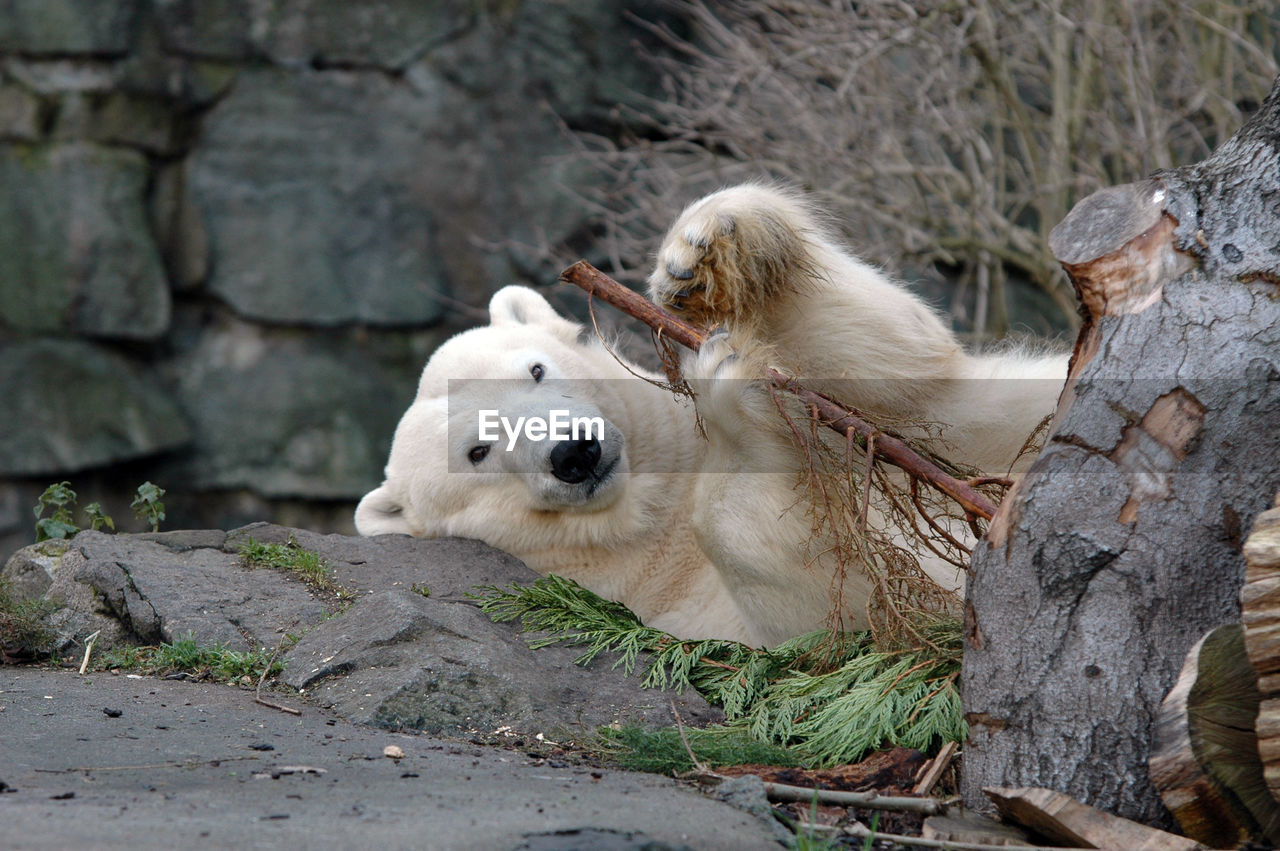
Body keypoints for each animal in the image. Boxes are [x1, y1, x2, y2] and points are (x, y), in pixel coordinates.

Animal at [355, 180, 1064, 644]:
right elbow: (838, 609)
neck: (655, 508)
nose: (574, 450)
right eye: (477, 452)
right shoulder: (669, 605)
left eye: (534, 370)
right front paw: (728, 385)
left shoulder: (920, 417)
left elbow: (896, 359)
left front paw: (699, 251)